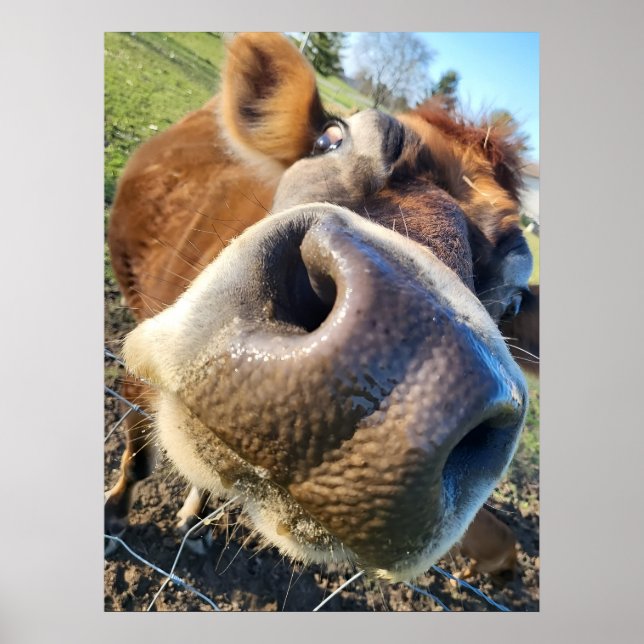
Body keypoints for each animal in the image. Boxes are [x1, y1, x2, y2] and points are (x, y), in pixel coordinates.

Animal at [106, 32, 539, 584]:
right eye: (331, 138)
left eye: (516, 301)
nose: (407, 348)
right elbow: (139, 454)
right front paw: (114, 515)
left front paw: (194, 517)